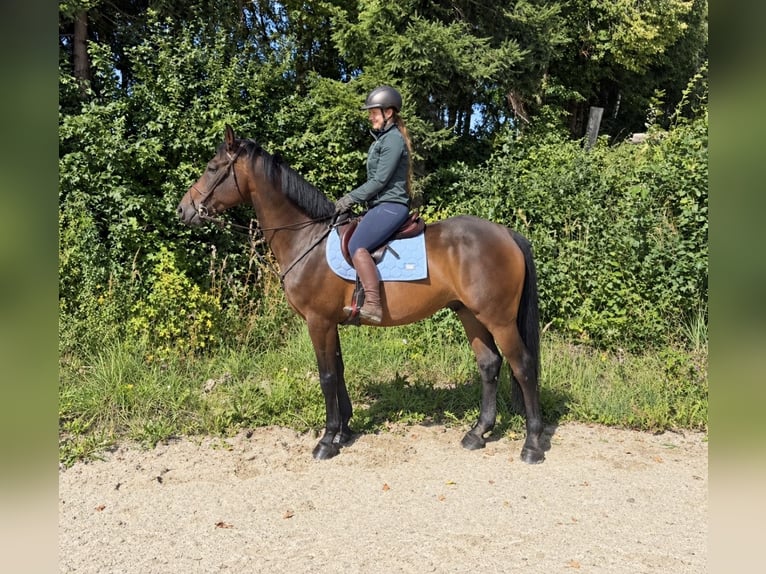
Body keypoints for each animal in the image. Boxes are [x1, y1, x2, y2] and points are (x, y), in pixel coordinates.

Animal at [177, 126, 546, 464]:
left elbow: (326, 375)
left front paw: (327, 440)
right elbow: (338, 370)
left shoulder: (318, 322)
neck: (306, 238)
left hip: (499, 318)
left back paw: (532, 445)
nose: (184, 210)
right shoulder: (331, 322)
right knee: (489, 364)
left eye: (212, 167)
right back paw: (477, 433)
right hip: (470, 313)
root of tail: (507, 234)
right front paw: (344, 430)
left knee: (523, 366)